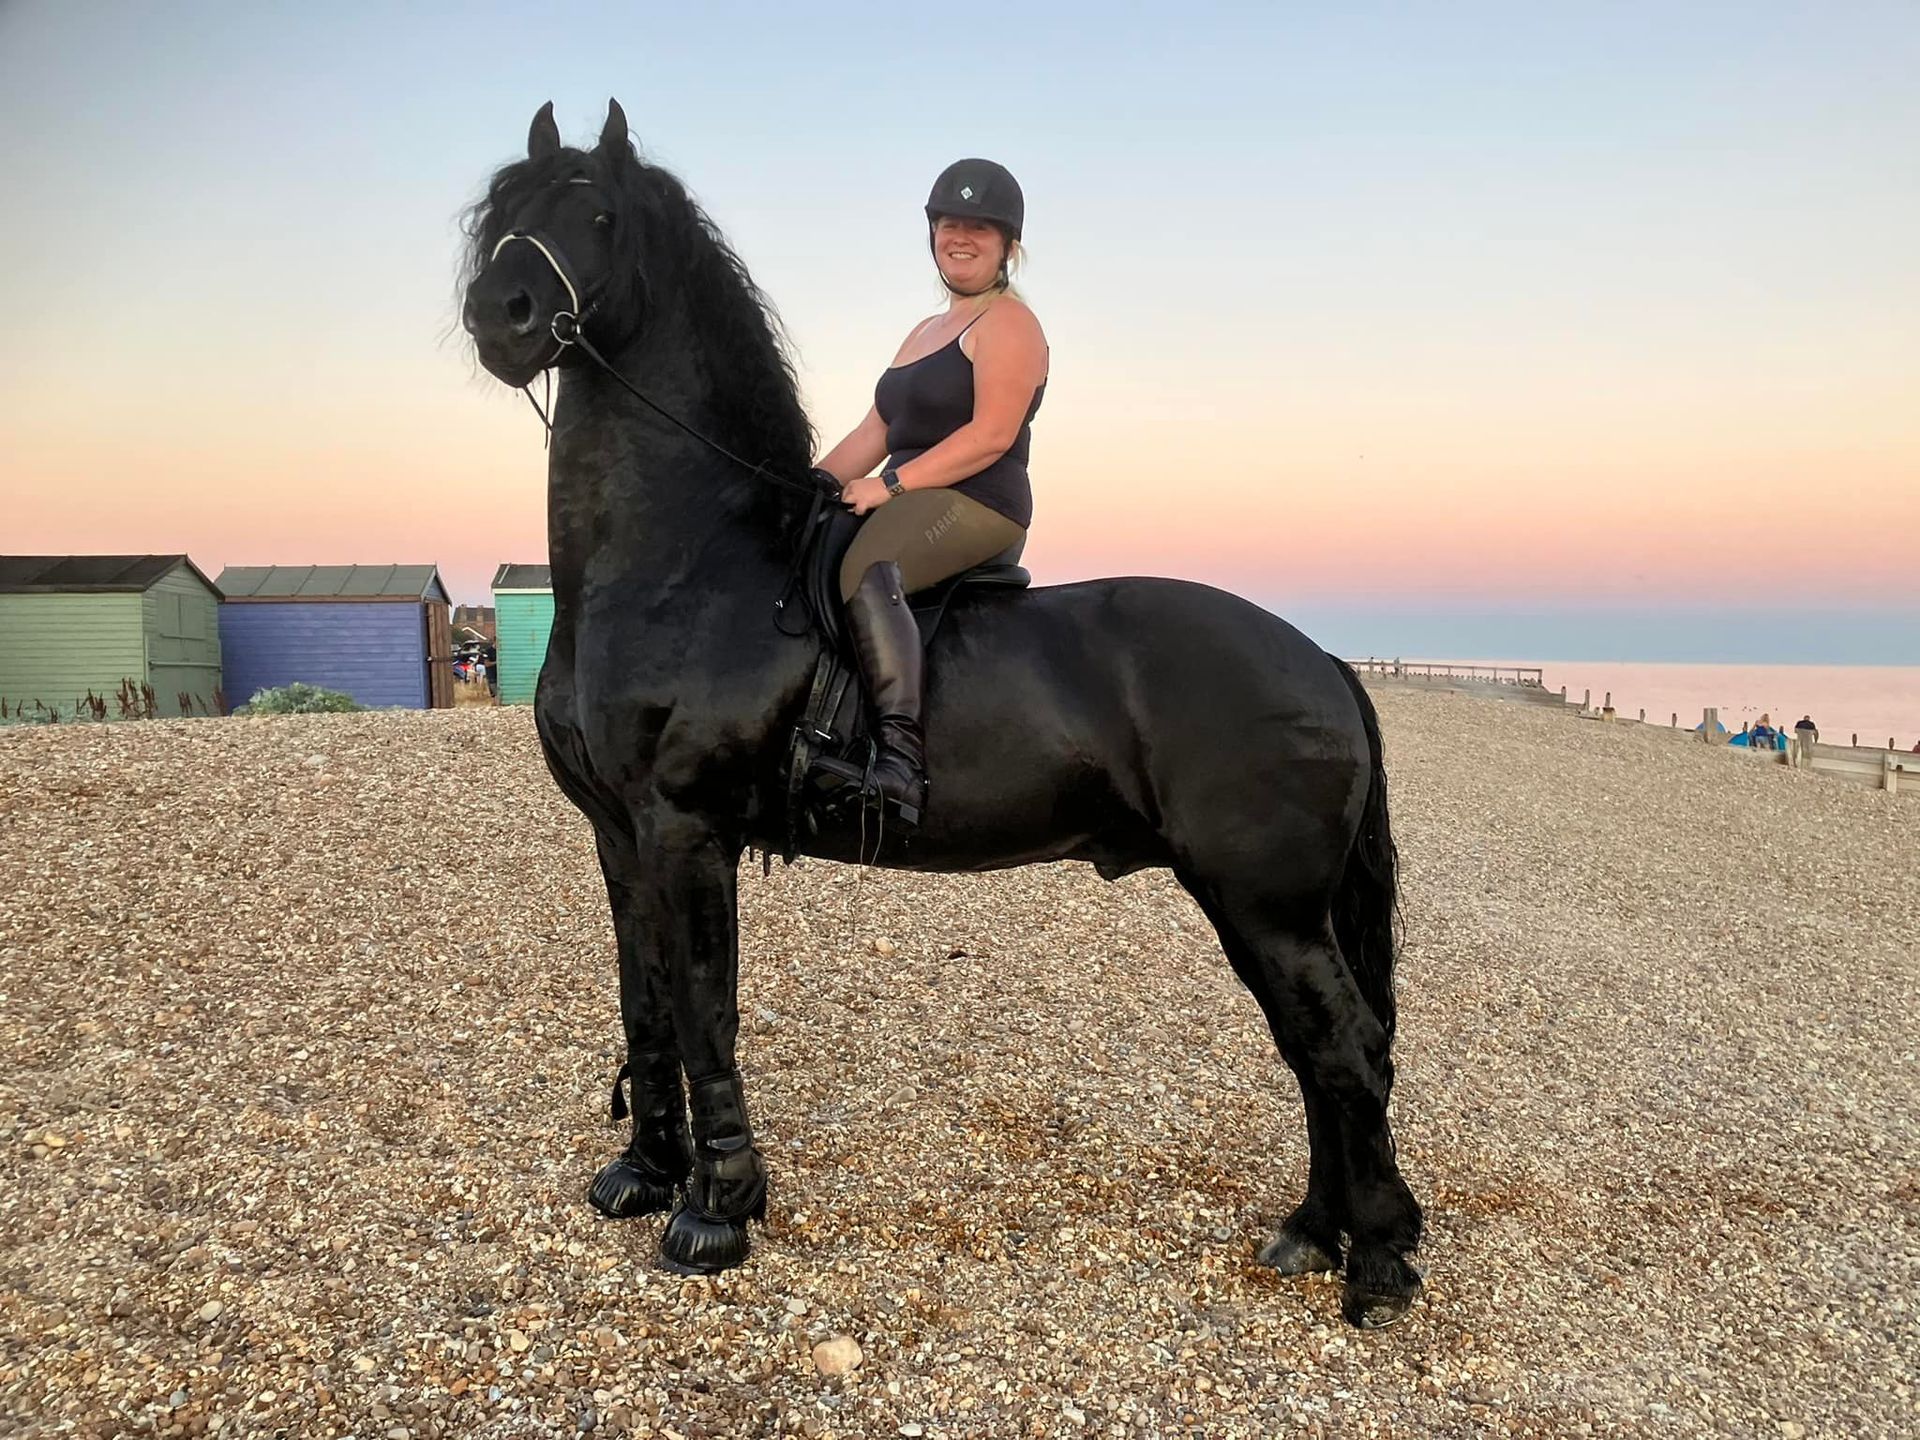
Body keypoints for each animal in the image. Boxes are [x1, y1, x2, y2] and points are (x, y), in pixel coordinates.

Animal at [459, 99, 1424, 1328]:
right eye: (503, 211)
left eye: (595, 217)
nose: (499, 313)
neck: (688, 563)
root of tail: (1324, 661)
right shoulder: (621, 840)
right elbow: (649, 1004)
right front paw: (644, 1173)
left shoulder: (687, 830)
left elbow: (707, 1009)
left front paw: (718, 1212)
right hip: (1254, 905)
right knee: (1315, 1052)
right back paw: (1316, 1232)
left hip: (1269, 905)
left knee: (1344, 1050)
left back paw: (1380, 1262)